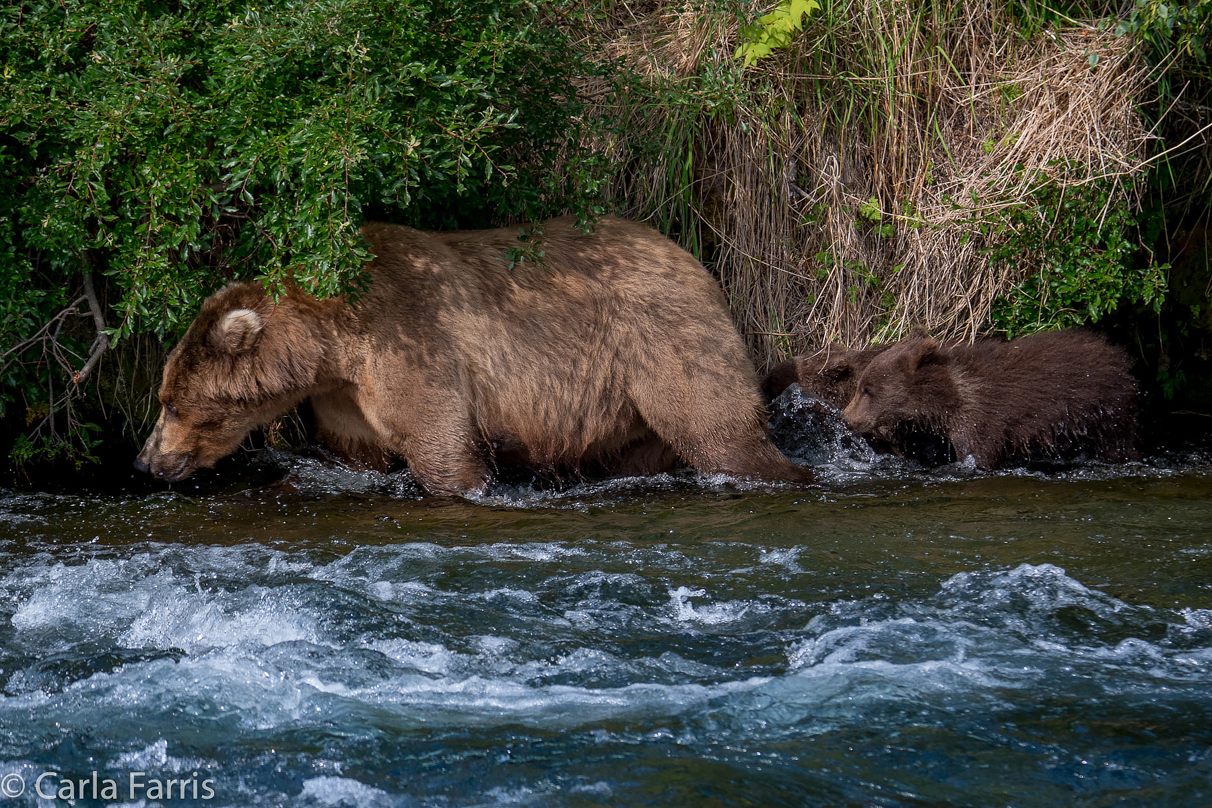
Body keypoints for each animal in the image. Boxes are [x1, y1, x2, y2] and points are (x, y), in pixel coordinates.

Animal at [135, 214, 814, 496]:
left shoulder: (412, 342)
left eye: (171, 403)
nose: (145, 461)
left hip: (662, 339)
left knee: (716, 426)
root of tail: (696, 260)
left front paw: (465, 485)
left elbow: (442, 446)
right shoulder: (343, 395)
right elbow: (352, 456)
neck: (334, 344)